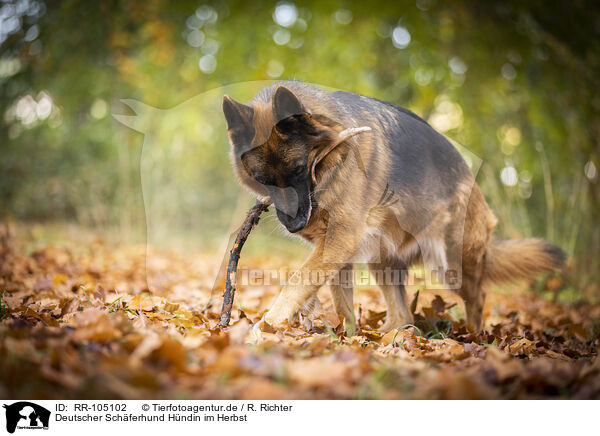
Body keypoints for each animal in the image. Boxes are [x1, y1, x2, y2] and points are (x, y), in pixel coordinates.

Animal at [223, 81, 564, 330]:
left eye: (297, 169)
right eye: (262, 179)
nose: (295, 226)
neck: (332, 160)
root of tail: (470, 177)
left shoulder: (337, 243)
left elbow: (296, 283)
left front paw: (266, 327)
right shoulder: (336, 251)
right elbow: (341, 304)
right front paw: (346, 337)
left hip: (451, 265)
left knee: (477, 295)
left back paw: (475, 336)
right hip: (382, 260)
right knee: (403, 315)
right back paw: (388, 337)